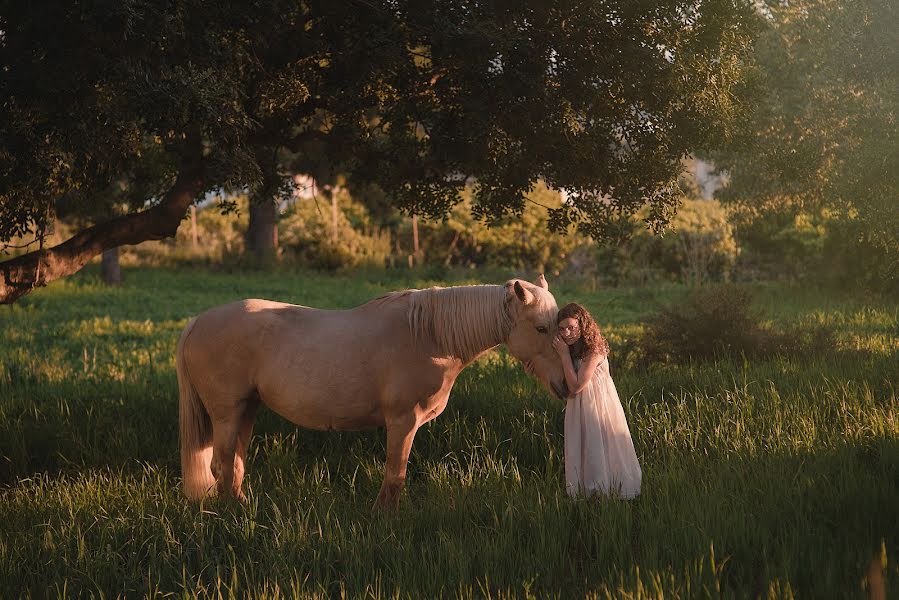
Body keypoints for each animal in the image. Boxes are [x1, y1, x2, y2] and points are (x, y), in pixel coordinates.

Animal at [178, 274, 568, 508]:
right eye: (542, 327)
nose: (565, 384)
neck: (428, 336)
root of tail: (197, 321)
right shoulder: (402, 422)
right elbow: (395, 475)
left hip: (247, 409)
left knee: (234, 465)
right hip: (227, 413)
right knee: (221, 464)